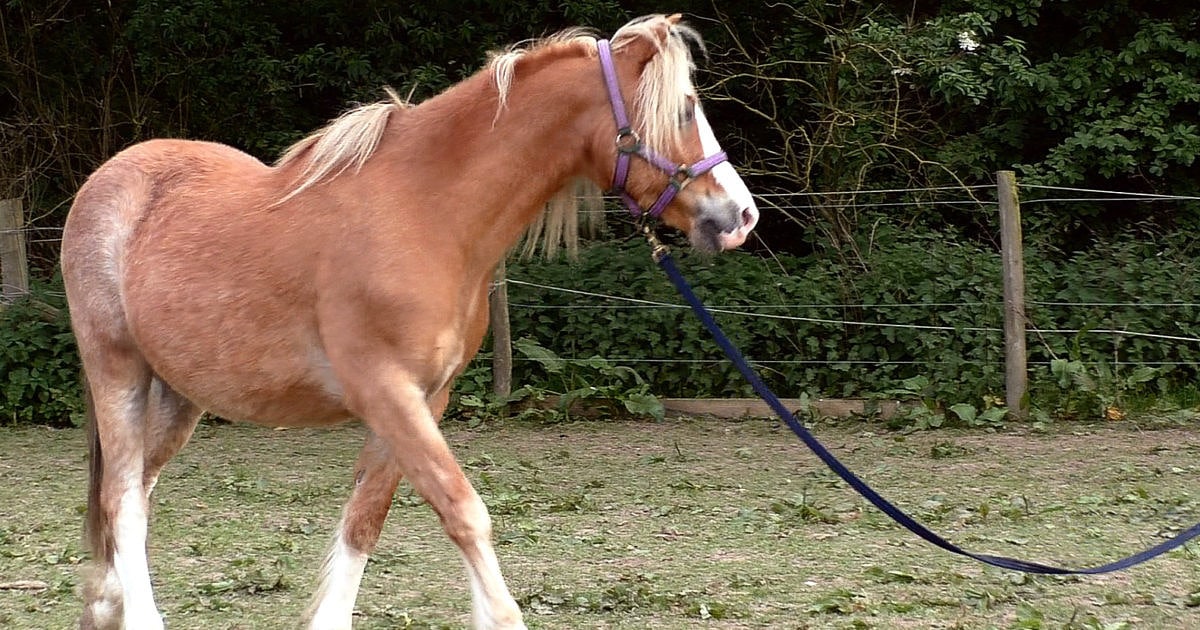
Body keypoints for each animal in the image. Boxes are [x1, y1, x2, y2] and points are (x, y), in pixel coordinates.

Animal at [61, 13, 758, 630]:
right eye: (685, 109)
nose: (741, 216)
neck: (427, 212)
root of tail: (108, 180)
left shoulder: (424, 398)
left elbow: (364, 522)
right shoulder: (386, 392)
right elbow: (464, 511)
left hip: (180, 394)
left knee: (135, 490)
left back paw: (104, 605)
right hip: (118, 372)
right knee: (123, 500)